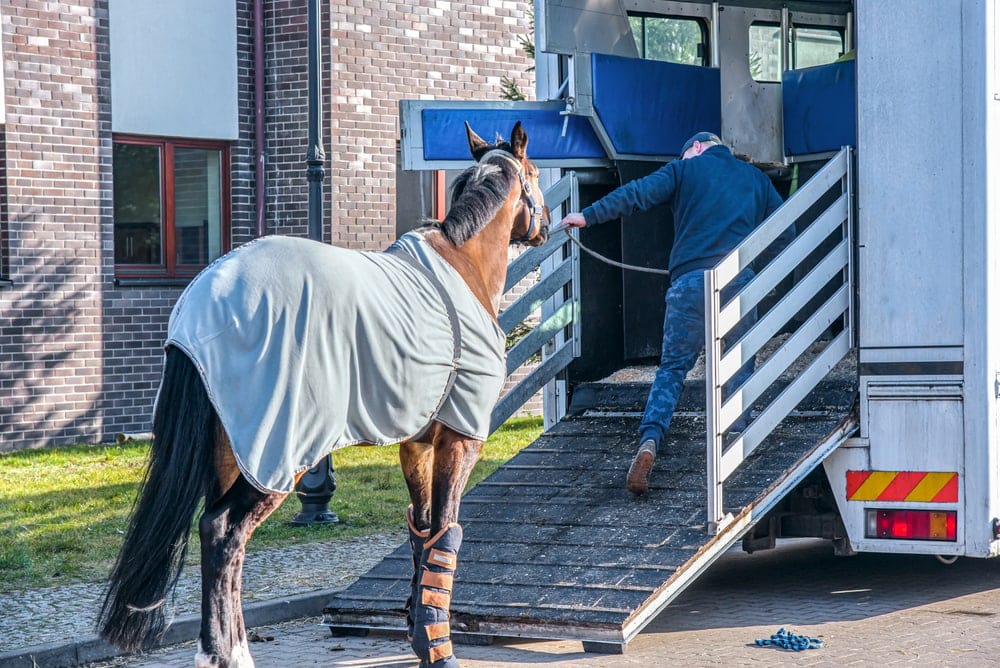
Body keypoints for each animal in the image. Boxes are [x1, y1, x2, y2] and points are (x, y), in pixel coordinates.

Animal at [98, 121, 549, 668]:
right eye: (535, 173)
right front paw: (440, 651)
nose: (547, 226)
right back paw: (228, 655)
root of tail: (199, 306)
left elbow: (422, 533)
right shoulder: (460, 439)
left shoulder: (416, 444)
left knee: (222, 541)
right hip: (276, 454)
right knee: (224, 532)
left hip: (231, 452)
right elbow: (446, 531)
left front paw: (422, 637)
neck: (462, 264)